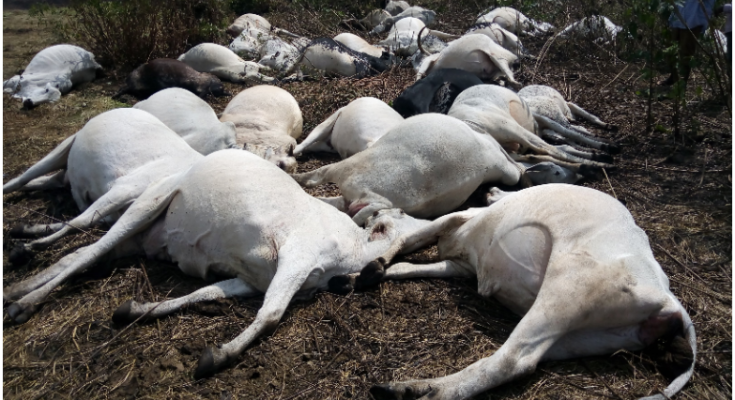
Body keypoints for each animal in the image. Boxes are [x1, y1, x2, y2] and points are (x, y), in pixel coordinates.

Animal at [2, 149, 432, 382]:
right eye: (392, 221)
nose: (377, 268)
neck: (349, 246)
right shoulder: (296, 257)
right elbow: (271, 314)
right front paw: (217, 357)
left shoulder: (251, 279)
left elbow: (202, 293)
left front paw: (136, 309)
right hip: (146, 205)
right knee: (88, 249)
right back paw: (23, 301)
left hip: (139, 238)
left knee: (80, 253)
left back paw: (18, 287)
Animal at [350, 184, 696, 400]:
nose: (490, 190)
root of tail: (671, 302)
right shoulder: (461, 265)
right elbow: (407, 265)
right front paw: (358, 276)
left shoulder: (460, 217)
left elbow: (408, 240)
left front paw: (370, 268)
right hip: (584, 336)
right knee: (527, 359)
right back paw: (409, 388)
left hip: (565, 292)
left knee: (511, 360)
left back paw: (420, 392)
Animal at [448, 85, 616, 168]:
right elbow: (570, 133)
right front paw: (606, 145)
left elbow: (568, 138)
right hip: (512, 129)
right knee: (550, 149)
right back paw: (602, 162)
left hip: (511, 146)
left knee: (539, 154)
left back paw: (589, 164)